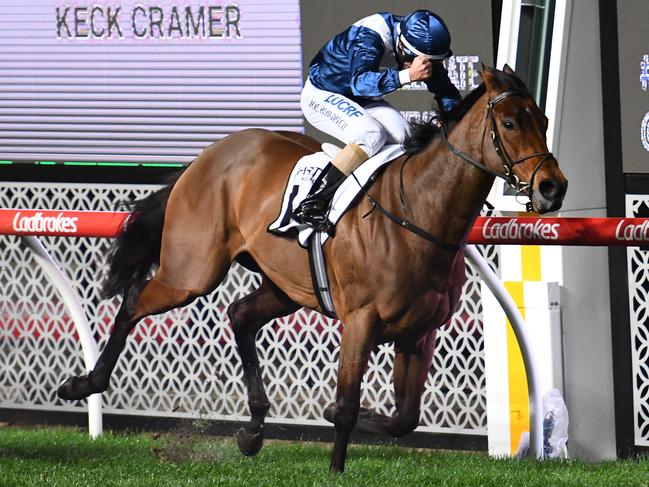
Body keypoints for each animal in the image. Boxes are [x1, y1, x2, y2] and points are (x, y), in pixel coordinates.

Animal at [59, 66, 568, 474]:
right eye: (509, 123)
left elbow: (405, 419)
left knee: (240, 315)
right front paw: (336, 464)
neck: (418, 211)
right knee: (135, 300)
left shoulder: (419, 332)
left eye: (543, 121)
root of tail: (206, 156)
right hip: (191, 272)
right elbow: (345, 407)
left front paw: (356, 420)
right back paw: (84, 382)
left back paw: (253, 430)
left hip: (285, 286)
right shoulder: (361, 321)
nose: (552, 187)